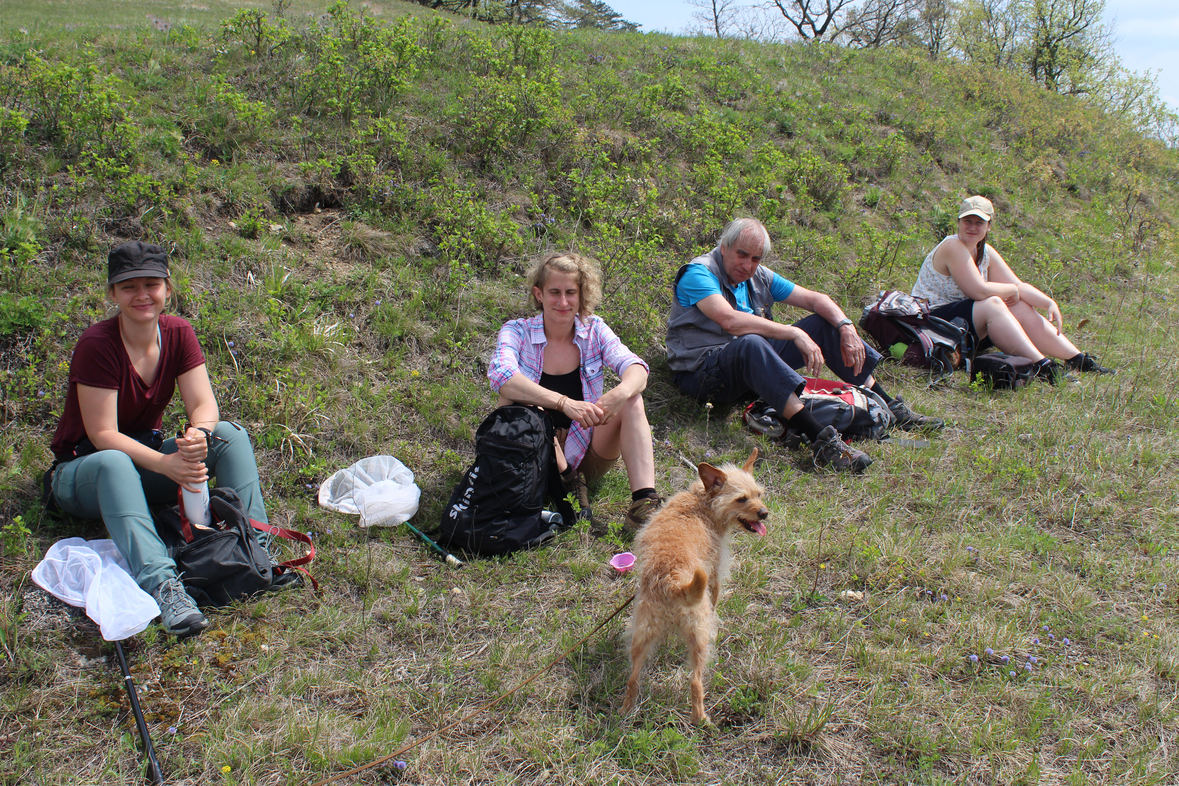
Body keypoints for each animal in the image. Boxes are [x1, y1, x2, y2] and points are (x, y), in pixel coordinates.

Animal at [622, 447, 768, 725]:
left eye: (759, 495)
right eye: (741, 499)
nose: (765, 513)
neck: (704, 502)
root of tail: (673, 582)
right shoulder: (715, 576)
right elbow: (716, 600)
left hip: (642, 634)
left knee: (633, 678)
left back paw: (627, 710)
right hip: (699, 637)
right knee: (695, 682)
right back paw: (701, 719)